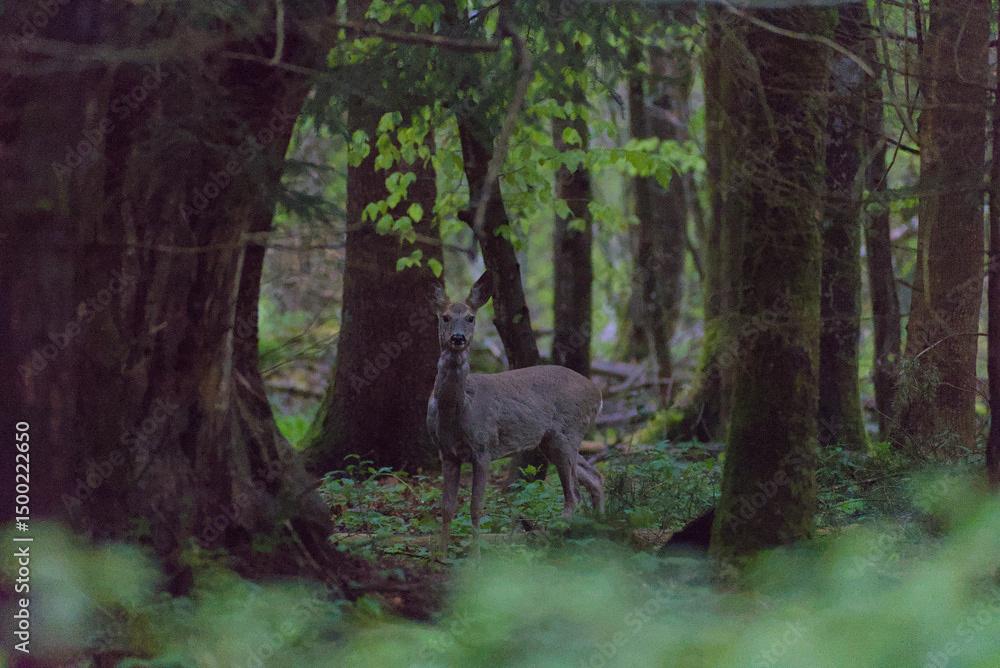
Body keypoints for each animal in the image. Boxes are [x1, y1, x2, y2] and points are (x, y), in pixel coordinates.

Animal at [426, 271, 604, 551]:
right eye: (444, 317)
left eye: (470, 317)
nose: (458, 338)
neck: (458, 409)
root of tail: (597, 393)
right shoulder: (447, 453)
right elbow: (446, 509)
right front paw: (441, 556)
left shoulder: (484, 447)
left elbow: (475, 508)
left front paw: (476, 557)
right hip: (551, 440)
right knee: (596, 478)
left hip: (568, 431)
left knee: (573, 495)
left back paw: (550, 539)